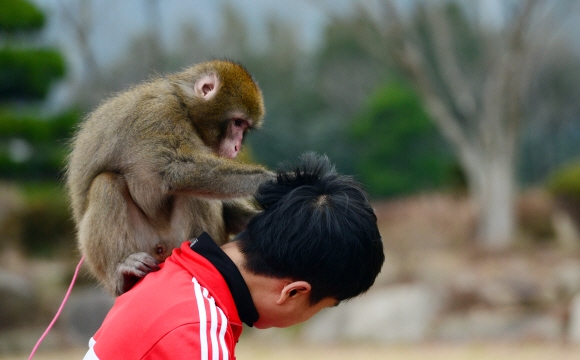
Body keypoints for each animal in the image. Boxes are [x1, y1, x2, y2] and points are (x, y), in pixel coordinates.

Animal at [64, 59, 274, 296]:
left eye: (244, 127)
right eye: (237, 123)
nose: (237, 147)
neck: (184, 105)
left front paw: (256, 216)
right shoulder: (160, 114)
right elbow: (173, 171)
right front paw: (270, 180)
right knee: (106, 182)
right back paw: (123, 273)